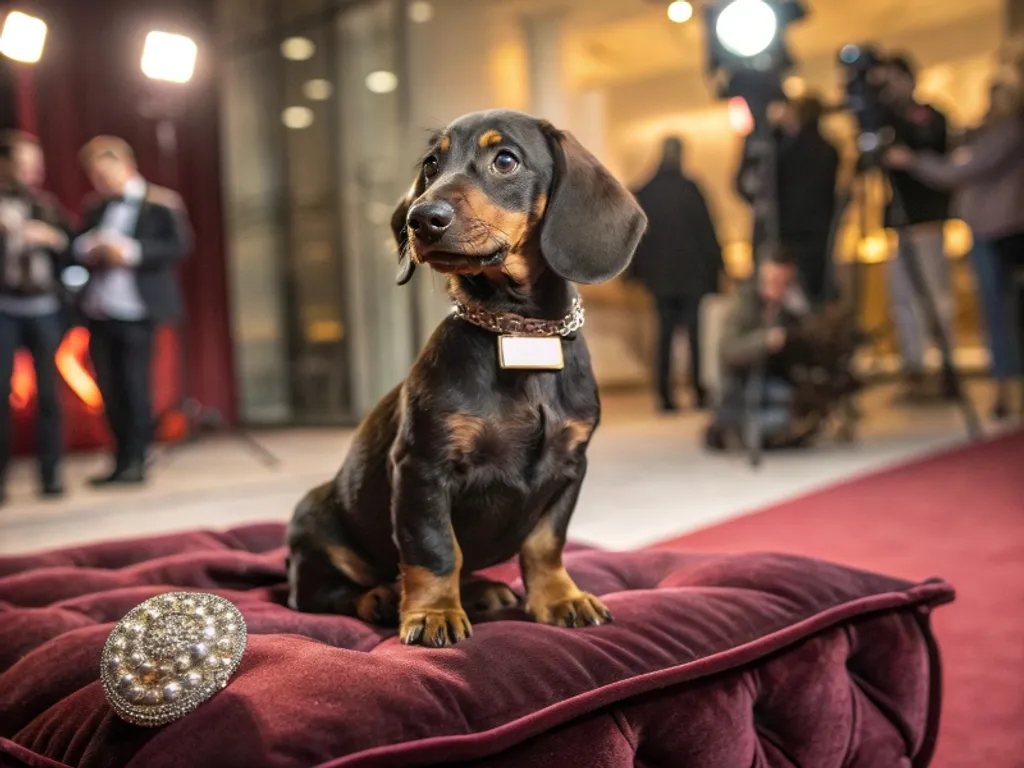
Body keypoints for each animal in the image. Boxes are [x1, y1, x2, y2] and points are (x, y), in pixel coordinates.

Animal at [284, 108, 643, 651]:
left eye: (506, 160)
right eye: (431, 165)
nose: (421, 219)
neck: (518, 329)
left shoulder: (570, 467)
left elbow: (546, 544)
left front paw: (560, 599)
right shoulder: (422, 468)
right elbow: (435, 550)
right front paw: (433, 612)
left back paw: (480, 590)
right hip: (314, 523)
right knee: (321, 594)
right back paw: (382, 597)